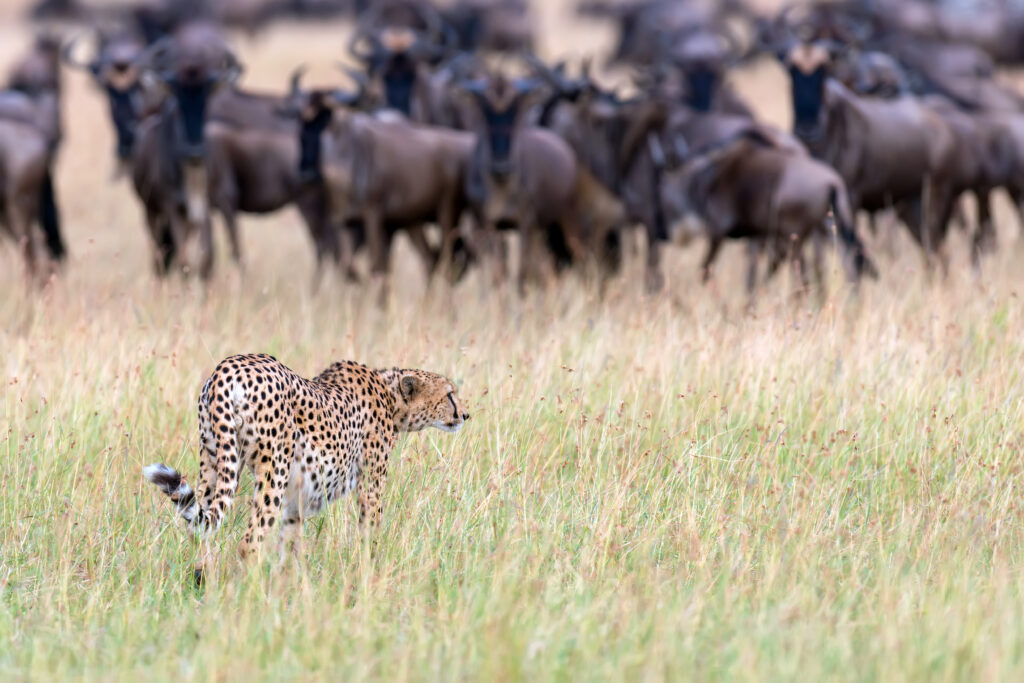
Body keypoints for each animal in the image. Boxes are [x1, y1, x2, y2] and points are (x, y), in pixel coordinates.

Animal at [143, 353, 469, 569]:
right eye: (450, 395)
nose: (466, 415)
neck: (392, 400)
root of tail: (229, 366)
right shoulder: (370, 486)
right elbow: (371, 531)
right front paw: (372, 570)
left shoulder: (297, 499)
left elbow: (290, 546)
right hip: (272, 472)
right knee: (248, 543)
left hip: (214, 460)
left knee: (198, 530)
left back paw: (202, 579)